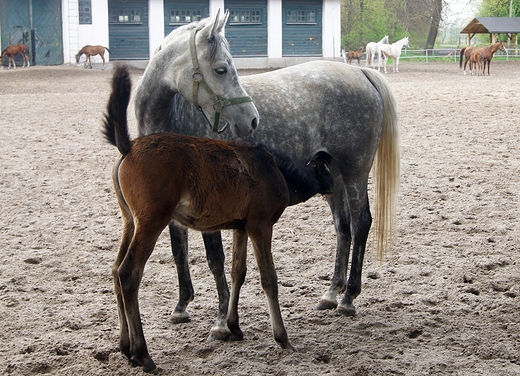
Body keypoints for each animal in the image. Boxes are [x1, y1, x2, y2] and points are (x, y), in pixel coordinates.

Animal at [103, 66, 336, 372]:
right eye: (327, 171)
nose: (334, 189)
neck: (275, 168)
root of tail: (129, 147)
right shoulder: (261, 225)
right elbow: (268, 278)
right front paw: (282, 338)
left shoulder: (242, 227)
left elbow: (238, 272)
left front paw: (233, 326)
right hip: (152, 221)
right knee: (129, 274)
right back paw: (142, 354)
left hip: (131, 222)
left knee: (116, 271)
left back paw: (126, 347)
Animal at [135, 12, 402, 340]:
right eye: (221, 68)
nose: (251, 119)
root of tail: (361, 72)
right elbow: (179, 251)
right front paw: (182, 306)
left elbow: (215, 259)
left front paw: (221, 321)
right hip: (334, 176)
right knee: (343, 227)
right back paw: (331, 293)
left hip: (355, 171)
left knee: (361, 222)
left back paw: (349, 297)